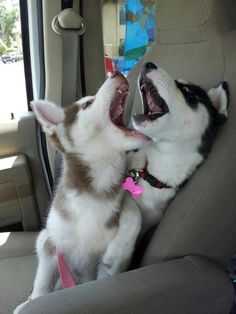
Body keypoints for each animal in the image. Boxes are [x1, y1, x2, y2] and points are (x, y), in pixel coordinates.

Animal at [13, 72, 148, 312]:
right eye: (87, 104)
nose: (117, 73)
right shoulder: (52, 246)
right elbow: (42, 285)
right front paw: (34, 302)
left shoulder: (104, 271)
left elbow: (133, 212)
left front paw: (118, 249)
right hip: (43, 238)